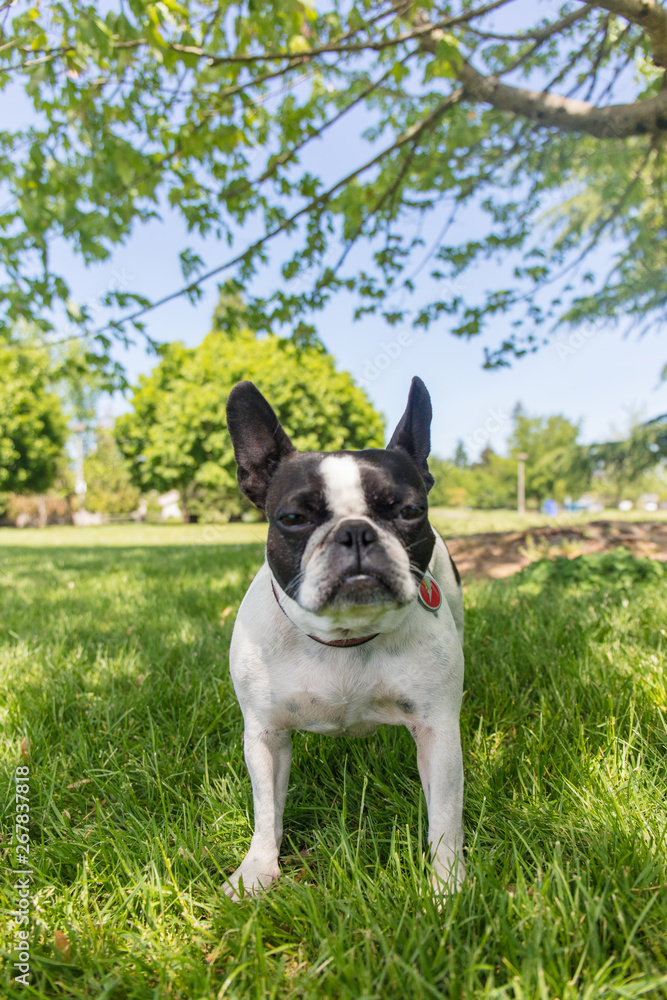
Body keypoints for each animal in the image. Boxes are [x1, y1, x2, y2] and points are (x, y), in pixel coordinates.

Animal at [224, 378, 464, 904]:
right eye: (293, 518)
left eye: (410, 511)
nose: (356, 532)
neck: (345, 636)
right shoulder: (266, 737)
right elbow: (266, 811)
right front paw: (256, 871)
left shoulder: (437, 730)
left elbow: (444, 817)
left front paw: (448, 886)